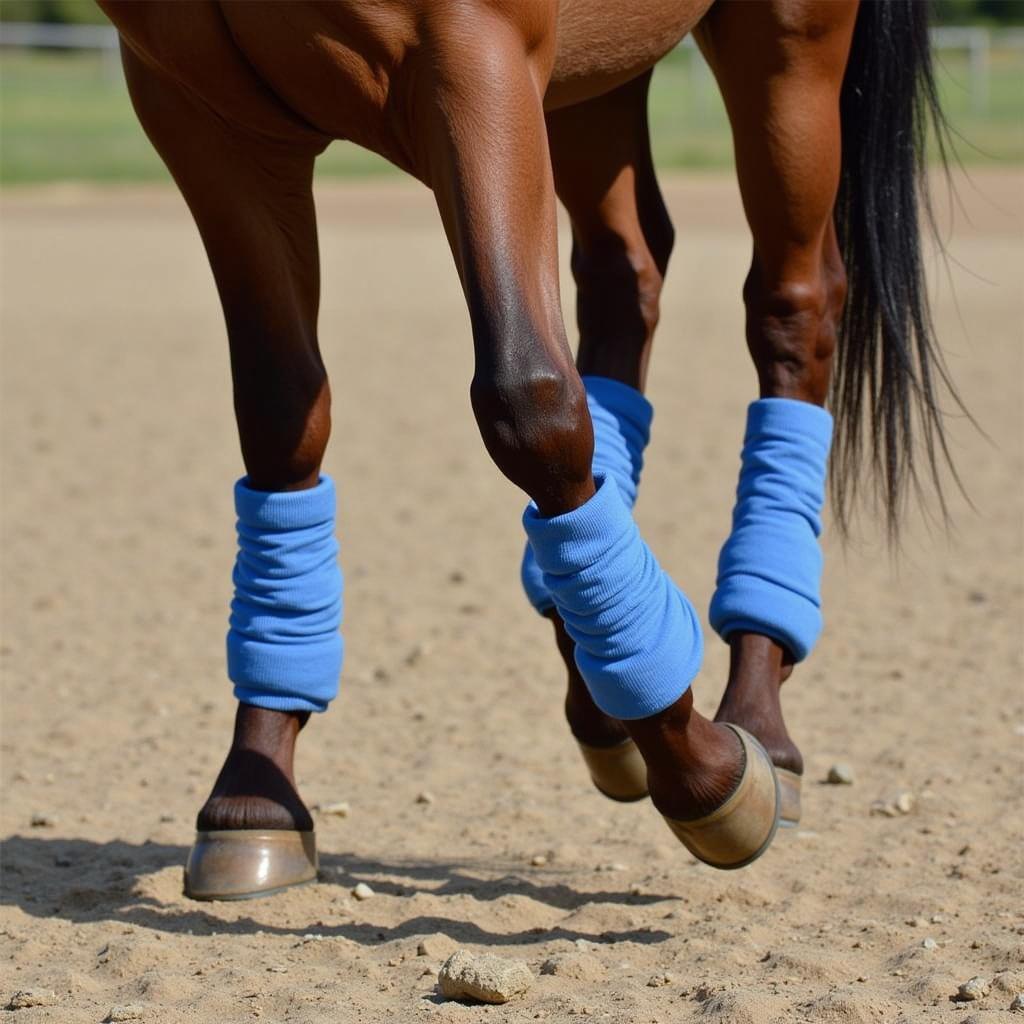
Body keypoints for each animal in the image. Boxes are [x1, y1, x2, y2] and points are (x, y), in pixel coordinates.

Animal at [96, 0, 958, 897]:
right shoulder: (205, 114)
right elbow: (280, 412)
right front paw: (254, 791)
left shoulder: (470, 57)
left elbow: (528, 397)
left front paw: (707, 772)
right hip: (593, 86)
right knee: (625, 276)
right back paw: (604, 696)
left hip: (789, 51)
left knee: (794, 306)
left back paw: (756, 721)